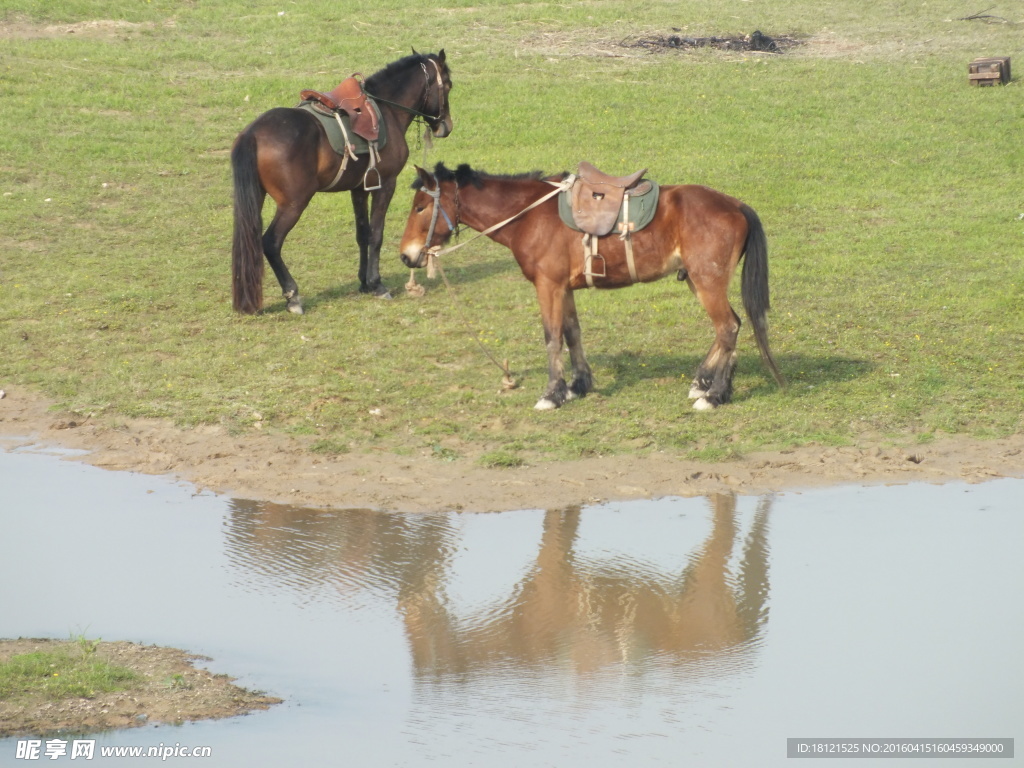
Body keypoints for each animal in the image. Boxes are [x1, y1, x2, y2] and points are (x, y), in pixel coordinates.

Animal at [234, 51, 458, 315]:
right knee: (270, 243)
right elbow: (376, 234)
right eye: (448, 85)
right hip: (294, 204)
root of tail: (253, 133)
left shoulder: (358, 189)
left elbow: (362, 234)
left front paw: (364, 283)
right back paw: (293, 297)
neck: (387, 109)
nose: (446, 126)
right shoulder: (386, 185)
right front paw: (377, 284)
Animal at [397, 164, 782, 411]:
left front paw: (551, 394)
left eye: (420, 207)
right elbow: (572, 333)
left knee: (728, 327)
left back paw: (714, 395)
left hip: (707, 281)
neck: (529, 216)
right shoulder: (564, 288)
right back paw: (706, 383)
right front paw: (578, 386)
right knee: (729, 328)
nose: (406, 255)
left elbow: (552, 337)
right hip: (697, 280)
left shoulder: (548, 286)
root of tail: (735, 205)